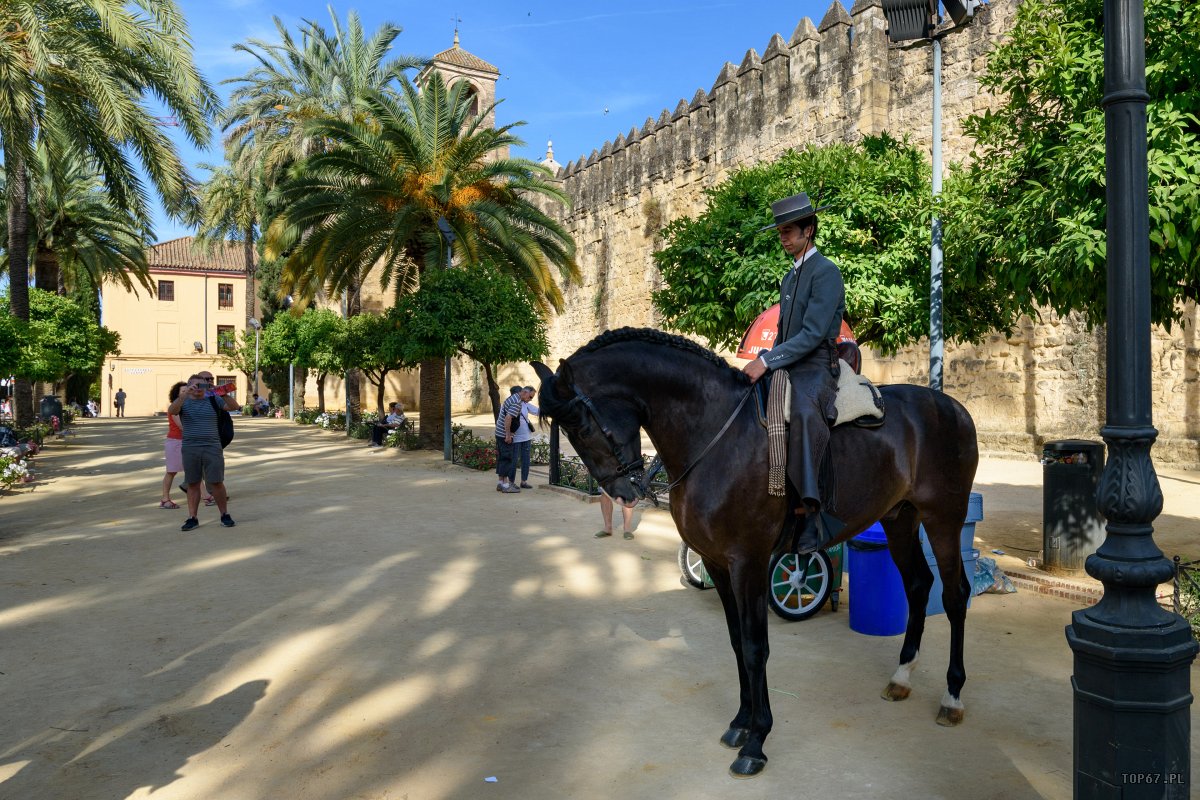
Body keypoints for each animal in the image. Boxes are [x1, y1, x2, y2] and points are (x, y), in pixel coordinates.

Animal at [537, 326, 984, 777]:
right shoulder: (717, 564)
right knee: (917, 585)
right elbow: (737, 641)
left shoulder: (748, 563)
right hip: (900, 518)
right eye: (569, 431)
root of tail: (952, 407)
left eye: (581, 426)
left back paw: (952, 695)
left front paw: (757, 739)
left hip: (943, 518)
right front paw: (740, 722)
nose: (624, 492)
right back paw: (902, 676)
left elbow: (756, 647)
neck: (715, 433)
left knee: (954, 594)